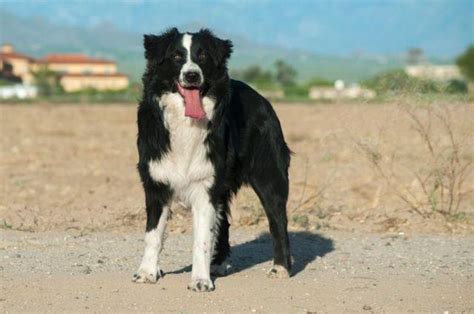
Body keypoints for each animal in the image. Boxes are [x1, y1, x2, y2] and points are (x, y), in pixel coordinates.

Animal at [131, 28, 290, 290]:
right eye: (176, 56)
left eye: (202, 56)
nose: (192, 75)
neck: (185, 121)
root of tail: (262, 98)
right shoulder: (156, 183)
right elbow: (153, 234)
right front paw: (146, 272)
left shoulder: (205, 187)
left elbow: (202, 239)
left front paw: (200, 281)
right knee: (223, 222)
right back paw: (219, 264)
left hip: (269, 177)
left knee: (278, 220)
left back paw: (281, 268)